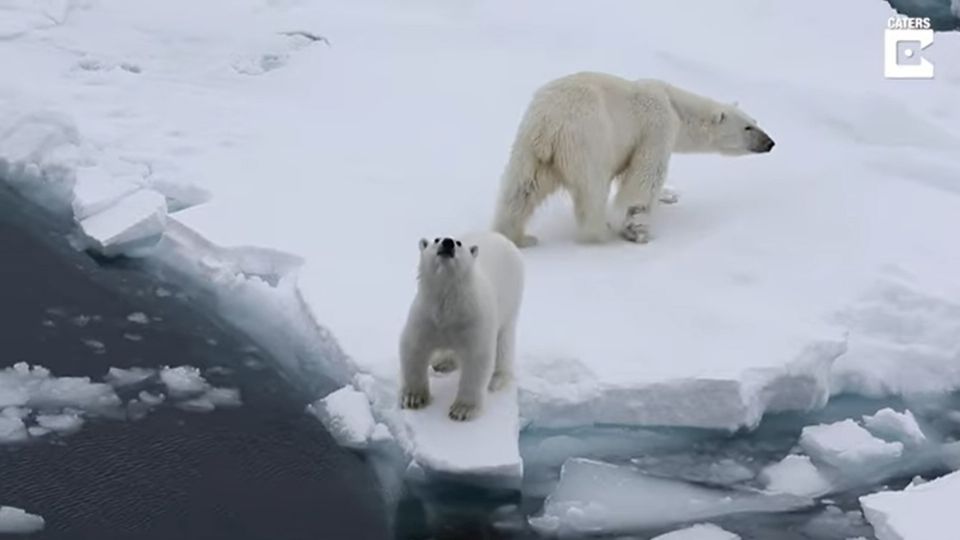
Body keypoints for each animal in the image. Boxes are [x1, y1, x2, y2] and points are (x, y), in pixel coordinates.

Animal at [492, 72, 776, 247]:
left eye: (755, 121)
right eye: (748, 127)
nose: (770, 143)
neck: (675, 104)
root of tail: (550, 127)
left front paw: (669, 195)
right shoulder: (656, 127)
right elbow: (646, 175)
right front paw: (637, 230)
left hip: (529, 149)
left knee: (520, 191)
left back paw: (518, 237)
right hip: (590, 142)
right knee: (592, 193)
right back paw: (601, 232)